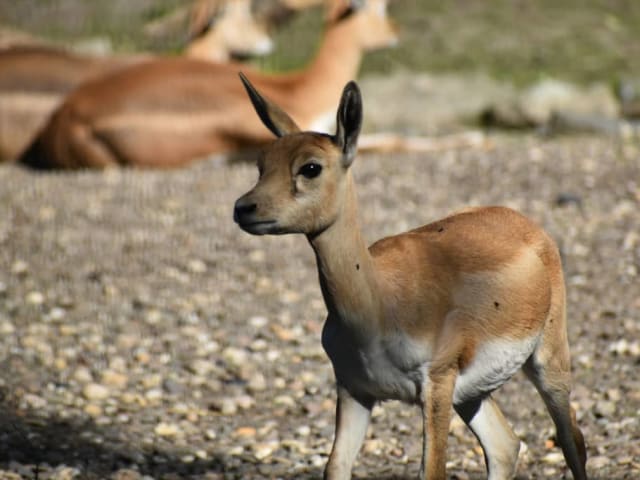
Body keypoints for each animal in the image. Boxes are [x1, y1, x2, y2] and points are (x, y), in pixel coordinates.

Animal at [233, 74, 588, 480]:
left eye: (310, 167)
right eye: (261, 163)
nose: (244, 208)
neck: (378, 309)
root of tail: (524, 223)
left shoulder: (436, 384)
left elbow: (432, 471)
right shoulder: (354, 390)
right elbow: (335, 467)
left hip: (548, 363)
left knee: (572, 440)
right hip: (472, 394)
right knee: (506, 445)